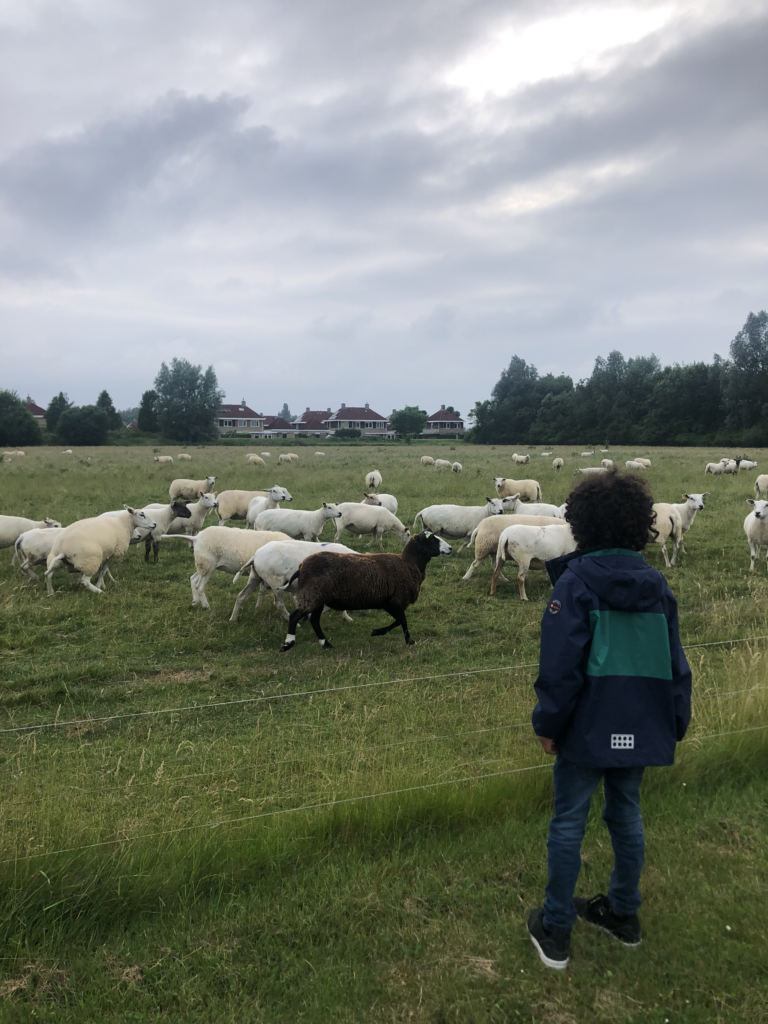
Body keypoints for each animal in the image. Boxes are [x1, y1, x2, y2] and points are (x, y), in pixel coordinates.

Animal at [163, 528, 292, 606]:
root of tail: (195, 538)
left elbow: (262, 590)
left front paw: (258, 606)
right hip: (208, 564)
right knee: (199, 586)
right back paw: (206, 607)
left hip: (202, 564)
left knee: (193, 579)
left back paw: (195, 602)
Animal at [230, 536, 360, 622]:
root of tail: (255, 555)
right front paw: (308, 616)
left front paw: (347, 618)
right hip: (276, 582)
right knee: (279, 604)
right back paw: (293, 621)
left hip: (255, 577)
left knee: (241, 596)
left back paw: (233, 619)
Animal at [280, 532, 450, 651]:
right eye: (433, 540)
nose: (450, 549)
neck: (409, 563)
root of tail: (302, 567)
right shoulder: (396, 601)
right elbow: (402, 621)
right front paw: (407, 640)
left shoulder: (388, 603)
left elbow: (399, 621)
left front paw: (380, 632)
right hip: (312, 594)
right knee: (295, 617)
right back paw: (288, 643)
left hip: (318, 597)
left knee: (314, 620)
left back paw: (326, 644)